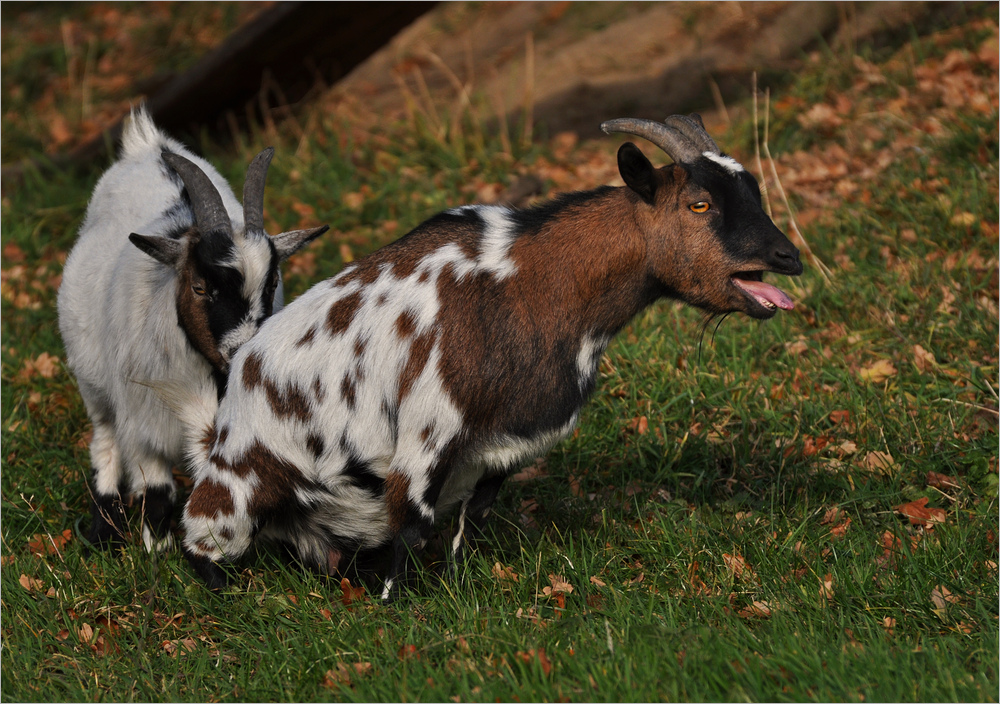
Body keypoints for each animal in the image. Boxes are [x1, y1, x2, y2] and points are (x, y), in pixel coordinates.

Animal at [178, 115, 804, 600]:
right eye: (699, 203)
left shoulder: (503, 446)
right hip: (235, 490)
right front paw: (394, 608)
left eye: (753, 191)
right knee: (196, 540)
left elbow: (470, 524)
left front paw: (457, 585)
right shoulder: (427, 433)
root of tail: (237, 376)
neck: (534, 285)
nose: (789, 257)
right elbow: (411, 529)